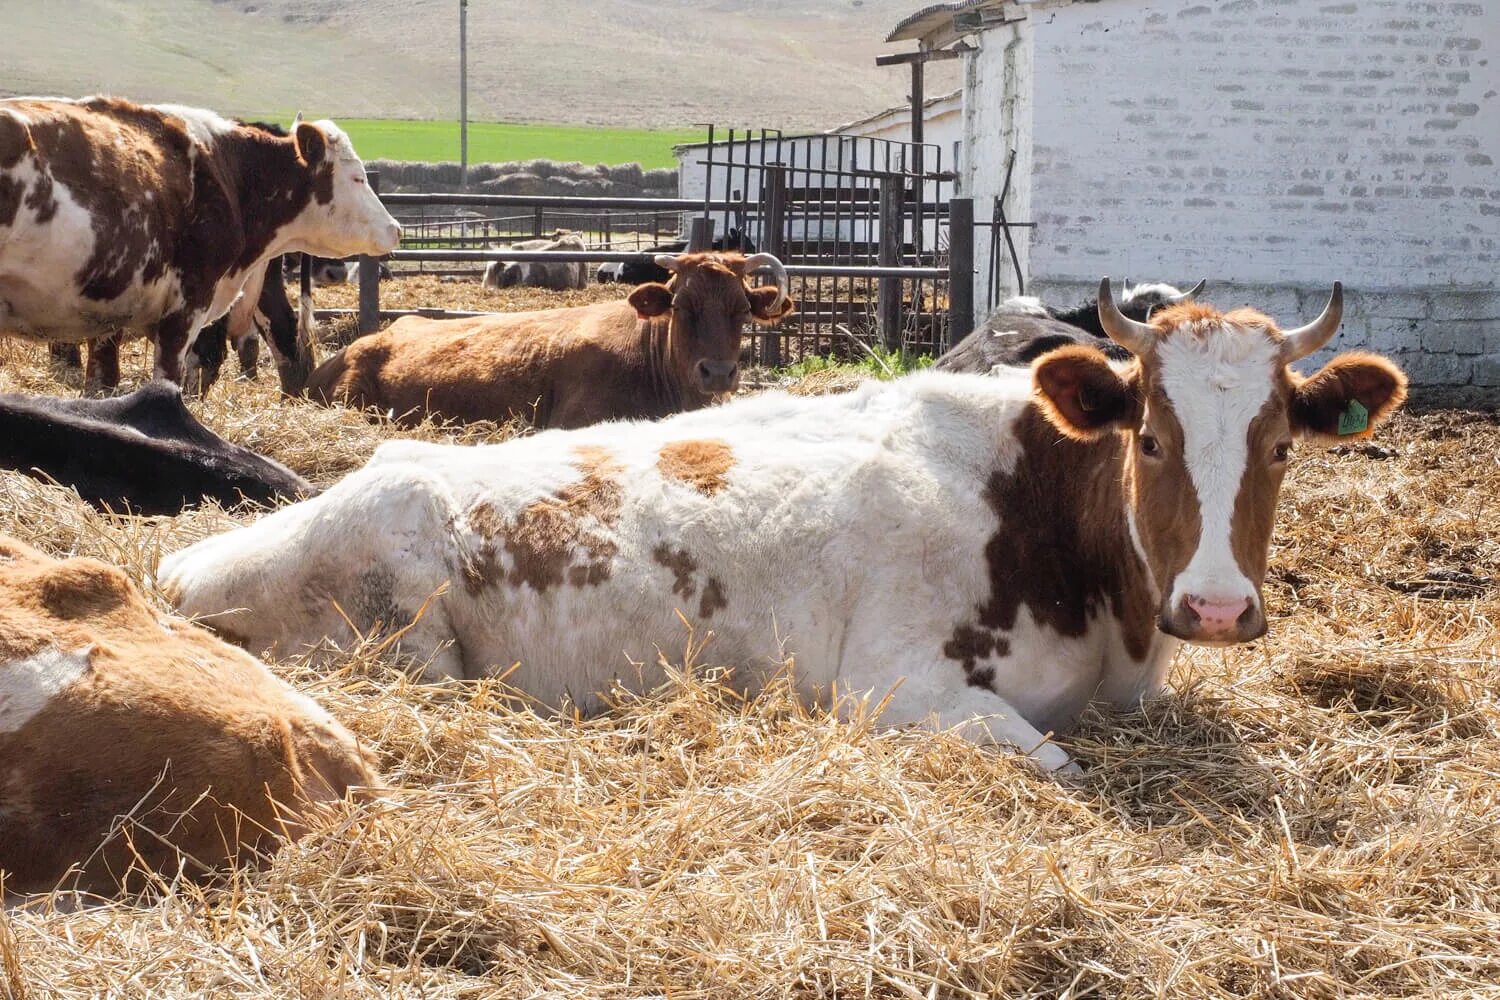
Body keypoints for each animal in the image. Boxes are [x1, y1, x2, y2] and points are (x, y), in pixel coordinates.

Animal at [161, 281, 1404, 773]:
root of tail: (178, 567)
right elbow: (1062, 764)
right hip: (404, 629)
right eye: (1149, 439)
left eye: (1280, 446)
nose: (1218, 605)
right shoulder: (898, 686)